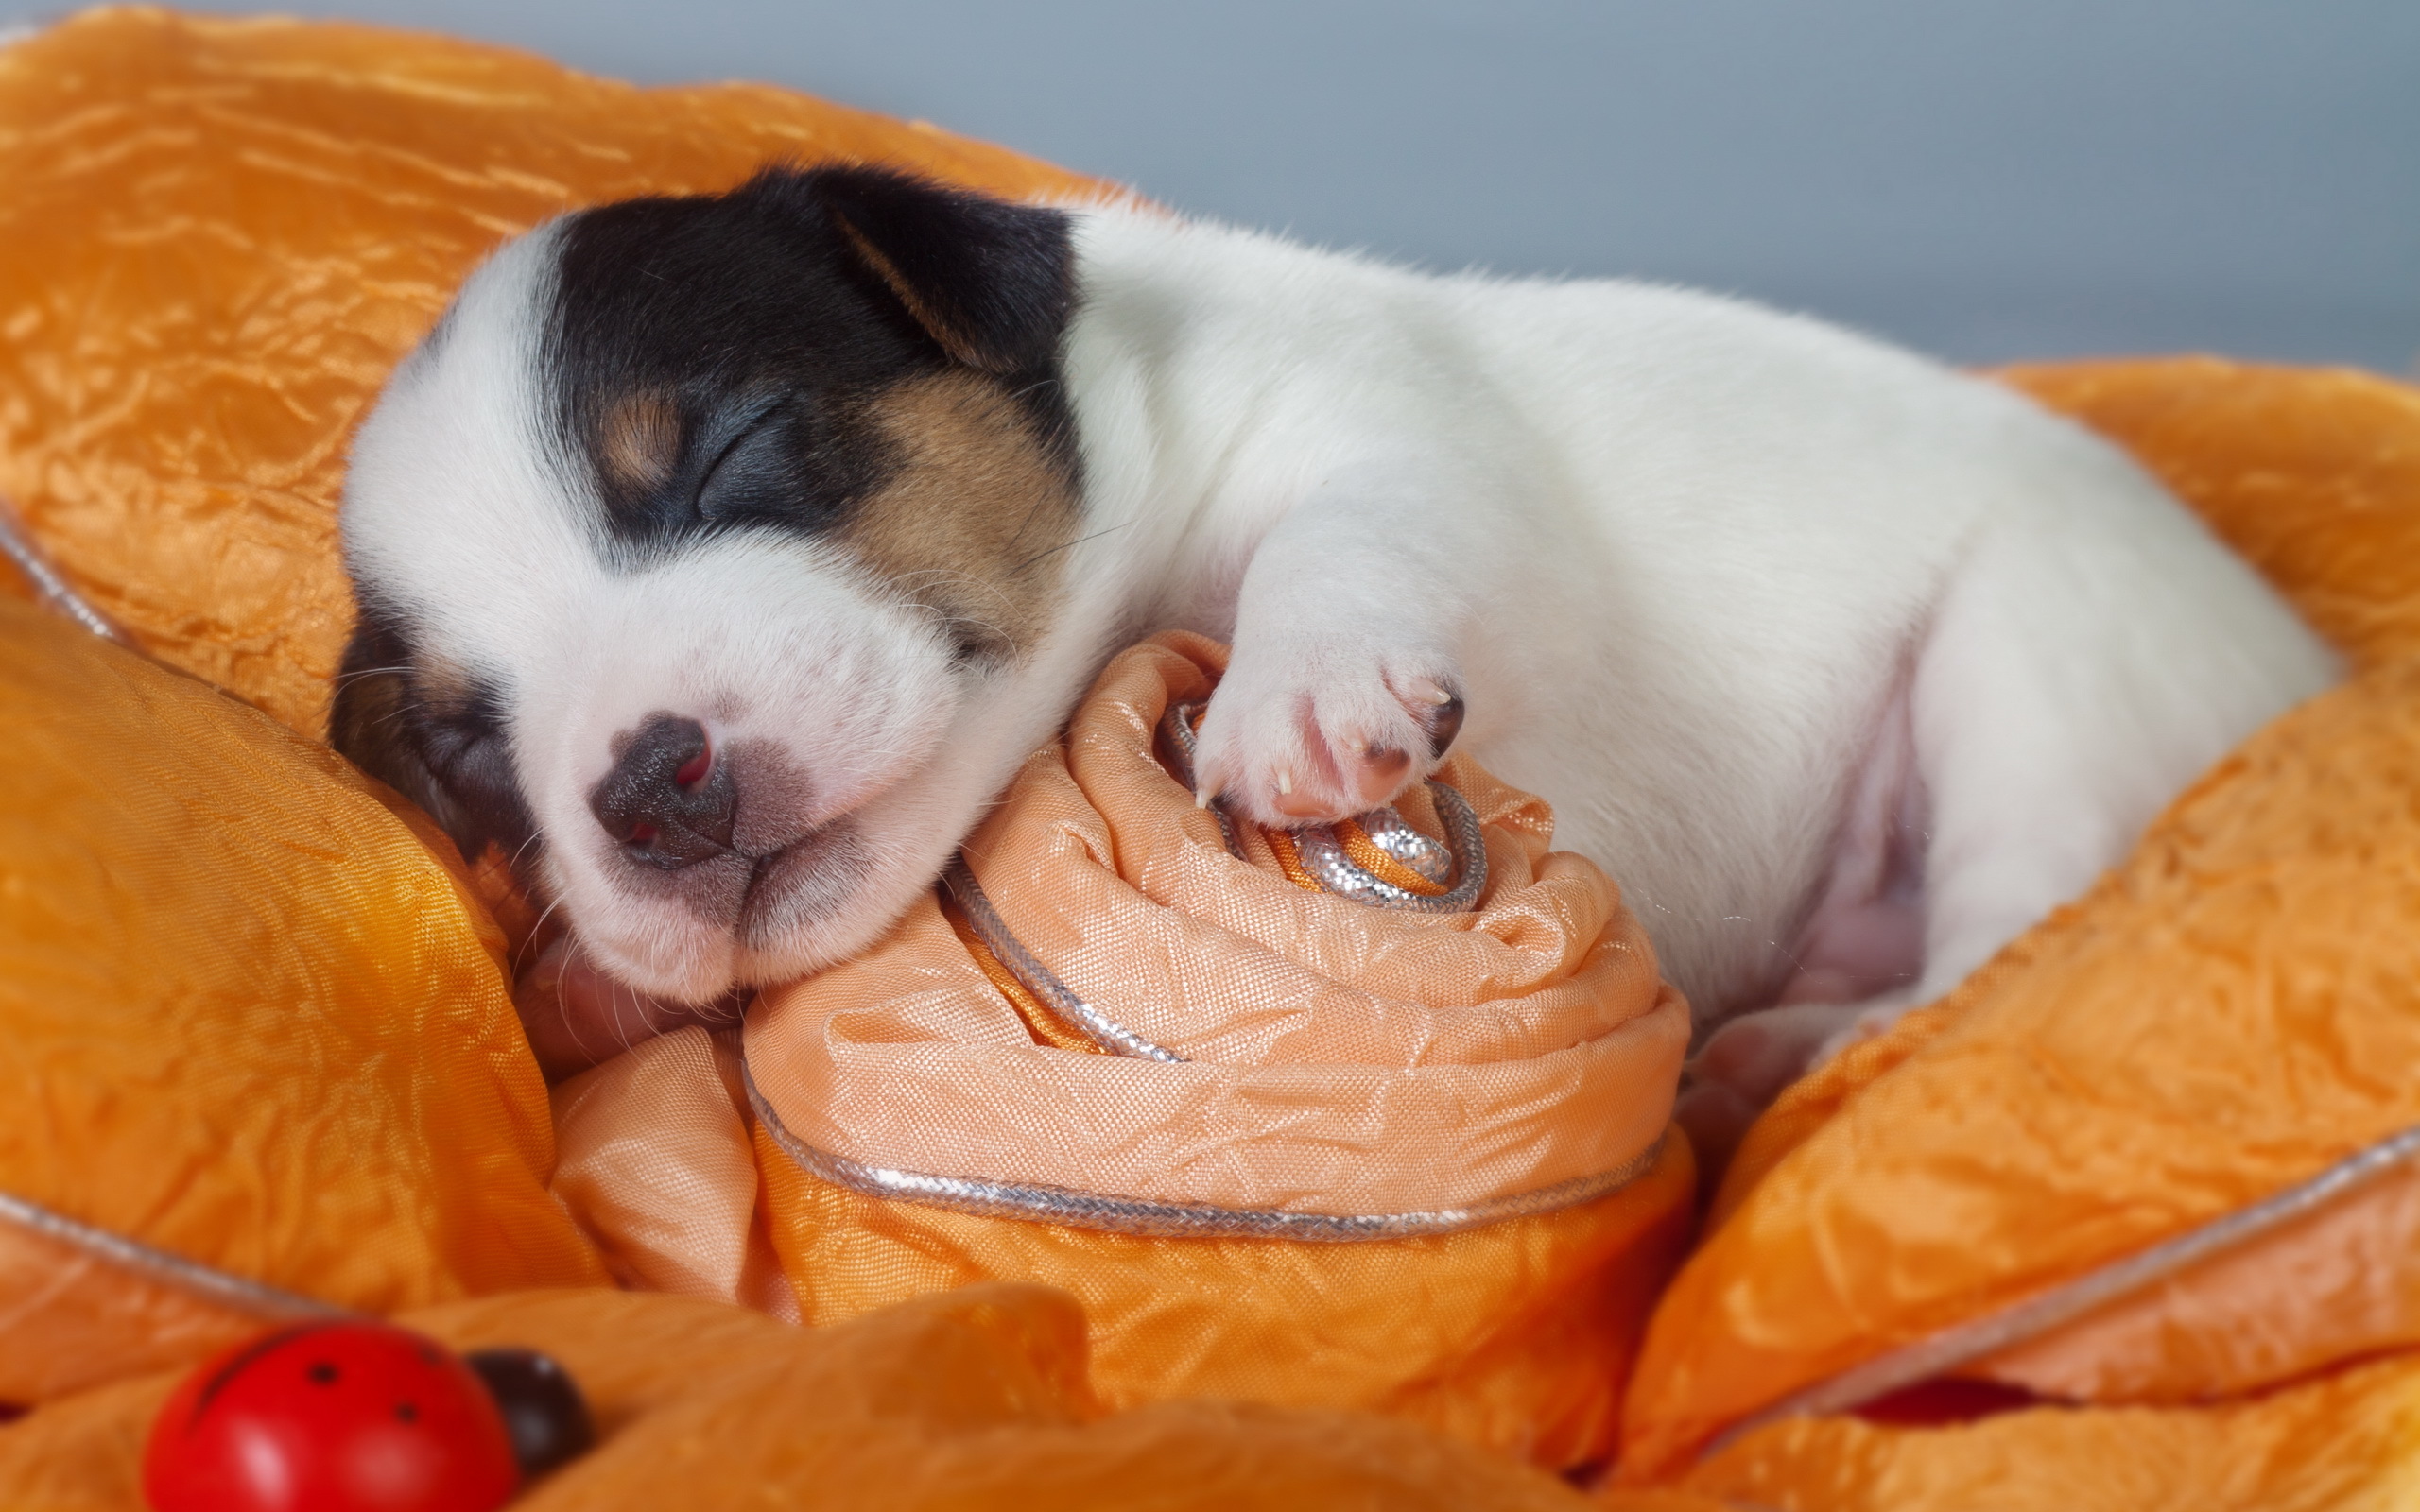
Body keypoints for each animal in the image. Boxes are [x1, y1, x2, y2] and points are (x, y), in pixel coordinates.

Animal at [331, 164, 2332, 1132]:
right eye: (470, 749)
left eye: (733, 450)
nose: (648, 791)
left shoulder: (1386, 438)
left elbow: (1347, 538)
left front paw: (1293, 695)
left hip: (2046, 650)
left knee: (2011, 941)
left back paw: (1823, 1043)